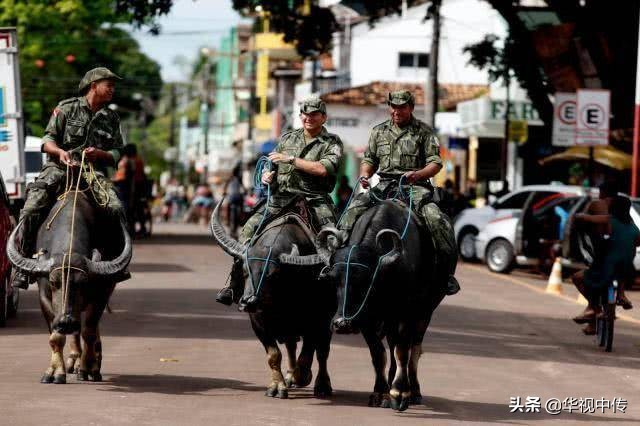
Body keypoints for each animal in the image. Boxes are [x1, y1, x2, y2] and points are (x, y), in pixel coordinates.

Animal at [7, 191, 131, 384]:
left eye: (83, 283)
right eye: (53, 282)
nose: (66, 321)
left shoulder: (102, 292)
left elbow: (89, 331)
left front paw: (88, 368)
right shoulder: (44, 296)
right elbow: (56, 337)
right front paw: (55, 372)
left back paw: (93, 360)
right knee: (75, 330)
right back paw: (74, 358)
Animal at [211, 201, 340, 400]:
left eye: (273, 275)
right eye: (245, 272)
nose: (248, 302)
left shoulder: (317, 320)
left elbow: (309, 353)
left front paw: (303, 376)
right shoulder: (258, 322)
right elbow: (274, 355)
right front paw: (277, 386)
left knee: (322, 351)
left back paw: (322, 385)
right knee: (291, 346)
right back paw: (290, 376)